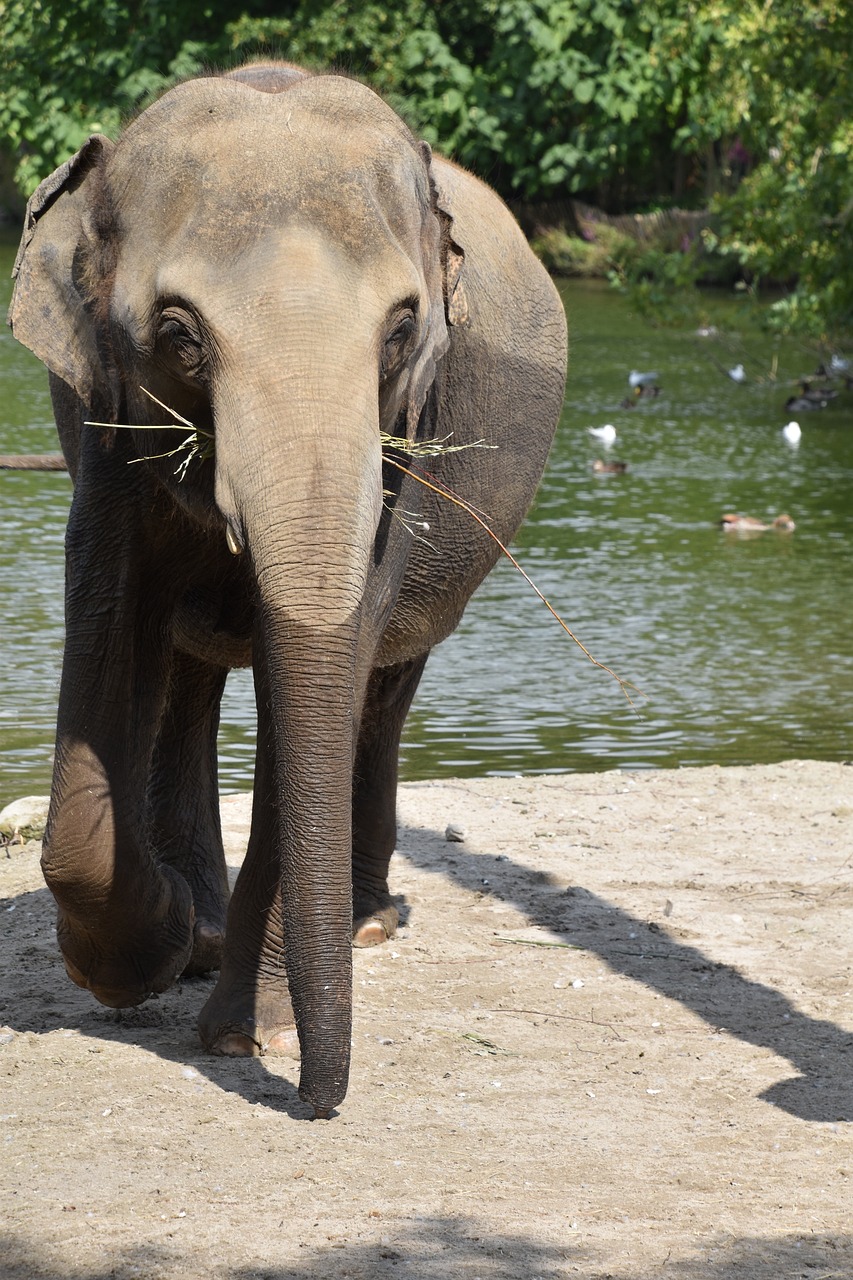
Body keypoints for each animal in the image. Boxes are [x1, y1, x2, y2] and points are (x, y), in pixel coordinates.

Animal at [8, 64, 563, 1116]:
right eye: (178, 334)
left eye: (401, 331)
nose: (317, 1099)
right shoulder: (107, 431)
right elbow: (112, 621)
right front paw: (146, 957)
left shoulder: (401, 449)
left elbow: (314, 674)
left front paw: (241, 1034)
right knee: (188, 673)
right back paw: (204, 929)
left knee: (382, 689)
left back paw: (364, 923)